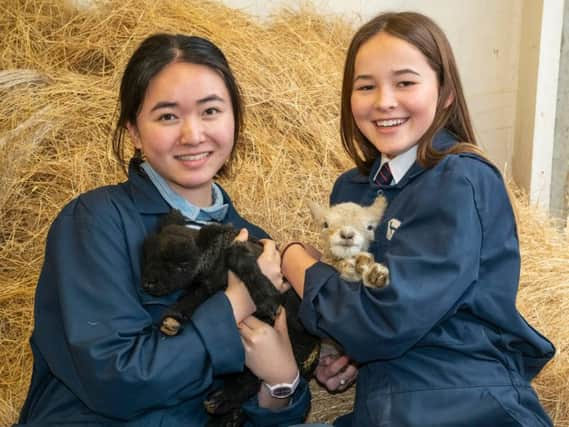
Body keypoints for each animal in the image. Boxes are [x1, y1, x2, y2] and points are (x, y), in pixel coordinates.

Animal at [140, 211, 322, 427]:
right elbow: (192, 298)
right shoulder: (205, 288)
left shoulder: (239, 253)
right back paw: (224, 413)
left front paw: (267, 298)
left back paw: (221, 401)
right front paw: (171, 319)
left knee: (252, 381)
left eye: (181, 265)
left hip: (294, 347)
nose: (148, 283)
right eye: (147, 256)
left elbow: (241, 261)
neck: (212, 266)